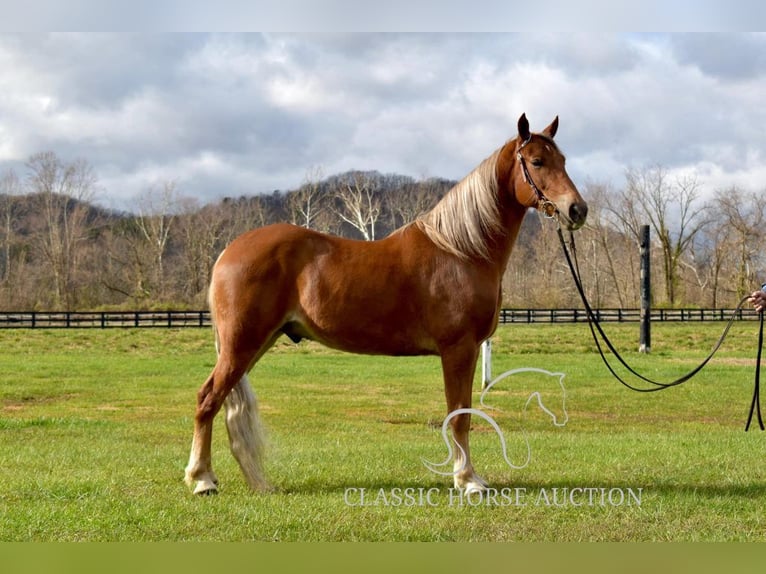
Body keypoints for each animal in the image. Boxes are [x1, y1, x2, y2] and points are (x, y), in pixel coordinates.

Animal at [184, 115, 588, 498]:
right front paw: (467, 480)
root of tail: (229, 251)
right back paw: (202, 479)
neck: (461, 250)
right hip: (241, 344)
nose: (577, 210)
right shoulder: (459, 349)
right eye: (536, 161)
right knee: (208, 399)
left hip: (255, 343)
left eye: (563, 160)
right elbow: (459, 415)